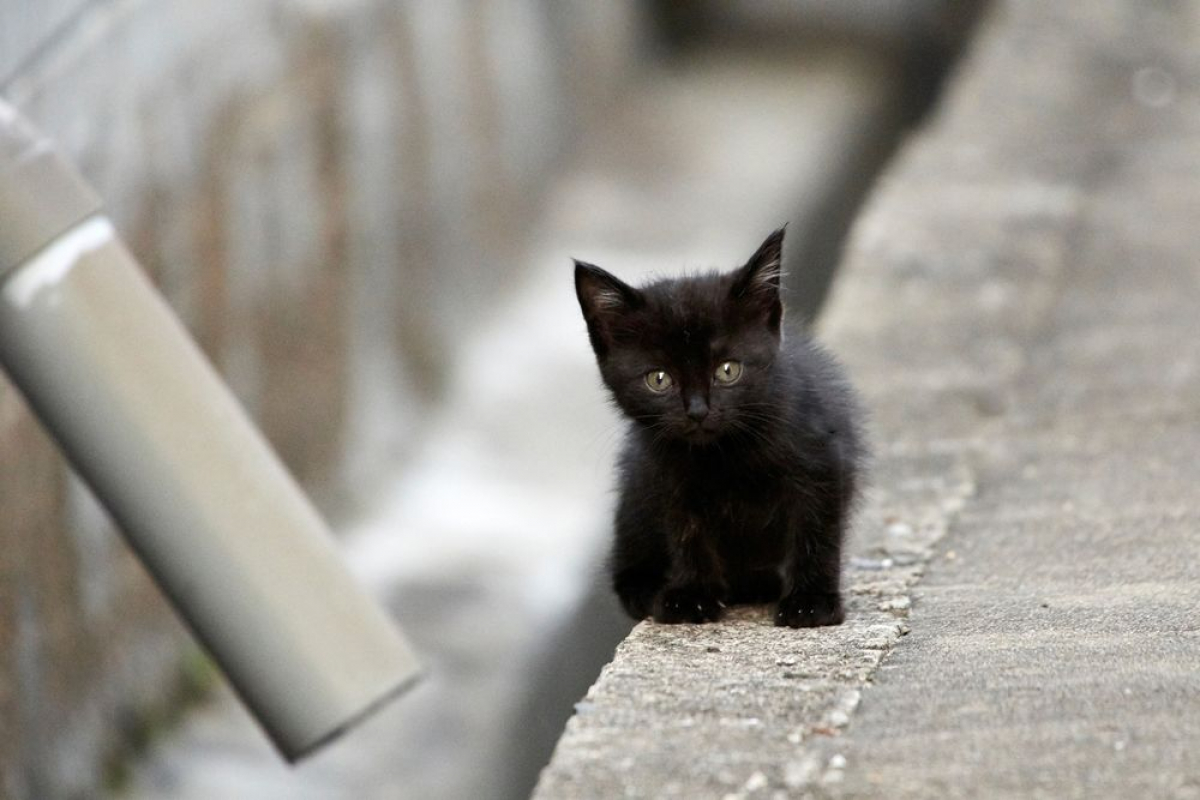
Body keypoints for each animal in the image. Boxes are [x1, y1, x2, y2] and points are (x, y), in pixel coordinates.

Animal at [573, 227, 864, 628]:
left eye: (728, 370)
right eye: (658, 379)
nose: (698, 411)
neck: (724, 455)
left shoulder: (823, 459)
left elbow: (817, 530)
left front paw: (811, 602)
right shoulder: (668, 477)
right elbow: (687, 533)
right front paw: (692, 596)